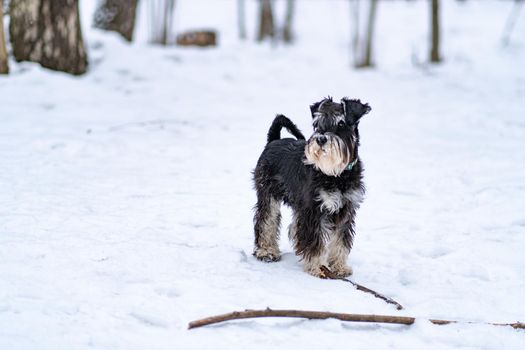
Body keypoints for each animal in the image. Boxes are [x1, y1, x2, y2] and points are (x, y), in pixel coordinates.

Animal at [253, 97, 368, 278]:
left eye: (341, 123)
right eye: (317, 124)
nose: (321, 139)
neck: (338, 175)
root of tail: (273, 140)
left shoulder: (345, 210)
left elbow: (340, 241)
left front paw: (339, 266)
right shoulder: (314, 210)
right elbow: (316, 240)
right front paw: (318, 267)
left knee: (293, 225)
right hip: (268, 196)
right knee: (266, 221)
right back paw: (266, 251)